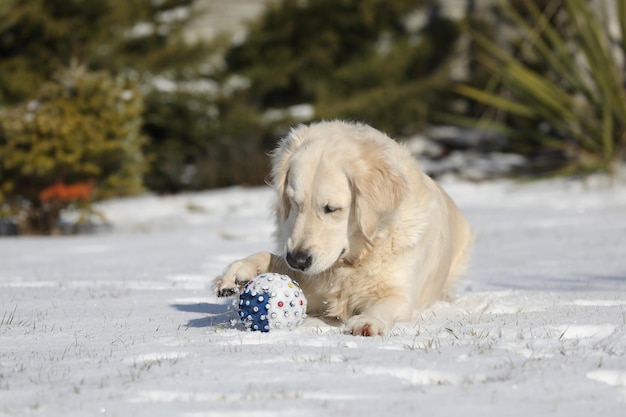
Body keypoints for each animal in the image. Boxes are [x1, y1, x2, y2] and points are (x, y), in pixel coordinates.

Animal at [214, 120, 468, 334]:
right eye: (295, 202)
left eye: (331, 208)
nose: (297, 260)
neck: (355, 259)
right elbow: (273, 259)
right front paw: (239, 272)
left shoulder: (400, 292)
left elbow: (387, 305)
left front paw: (367, 321)